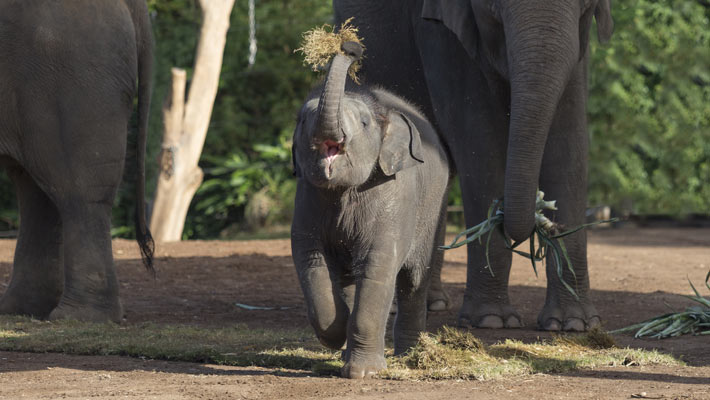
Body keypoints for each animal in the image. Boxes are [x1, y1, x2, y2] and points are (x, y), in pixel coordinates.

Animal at [290, 42, 450, 380]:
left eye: (364, 124)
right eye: (302, 121)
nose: (351, 47)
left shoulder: (393, 196)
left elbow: (379, 265)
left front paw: (364, 373)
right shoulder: (308, 197)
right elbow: (311, 260)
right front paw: (336, 334)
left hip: (434, 208)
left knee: (414, 280)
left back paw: (408, 355)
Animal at [336, 0, 616, 332]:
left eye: (587, 5)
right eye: (492, 10)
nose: (536, 226)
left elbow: (569, 140)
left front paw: (574, 324)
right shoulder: (442, 30)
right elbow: (479, 138)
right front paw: (492, 320)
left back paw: (432, 303)